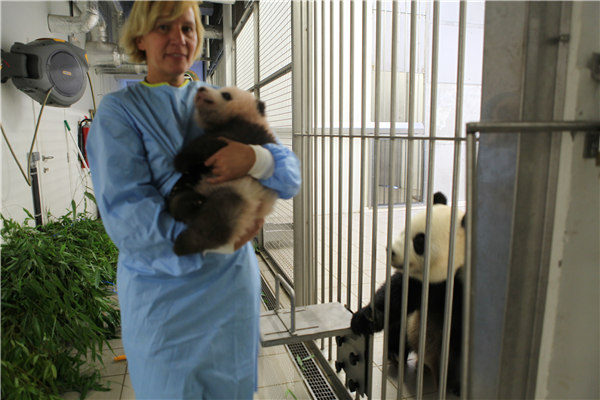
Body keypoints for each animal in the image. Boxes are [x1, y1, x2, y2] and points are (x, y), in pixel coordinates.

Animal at [168, 86, 278, 256]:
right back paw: (192, 201)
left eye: (226, 95)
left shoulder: (247, 132)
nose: (201, 88)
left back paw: (184, 245)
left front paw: (180, 160)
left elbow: (212, 144)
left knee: (219, 218)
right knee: (178, 202)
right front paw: (184, 174)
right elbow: (198, 168)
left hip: (242, 195)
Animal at [350, 192, 466, 396]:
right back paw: (396, 353)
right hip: (413, 324)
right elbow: (397, 295)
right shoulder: (423, 284)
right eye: (405, 230)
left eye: (419, 241)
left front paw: (455, 385)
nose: (391, 251)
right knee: (400, 327)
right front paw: (367, 318)